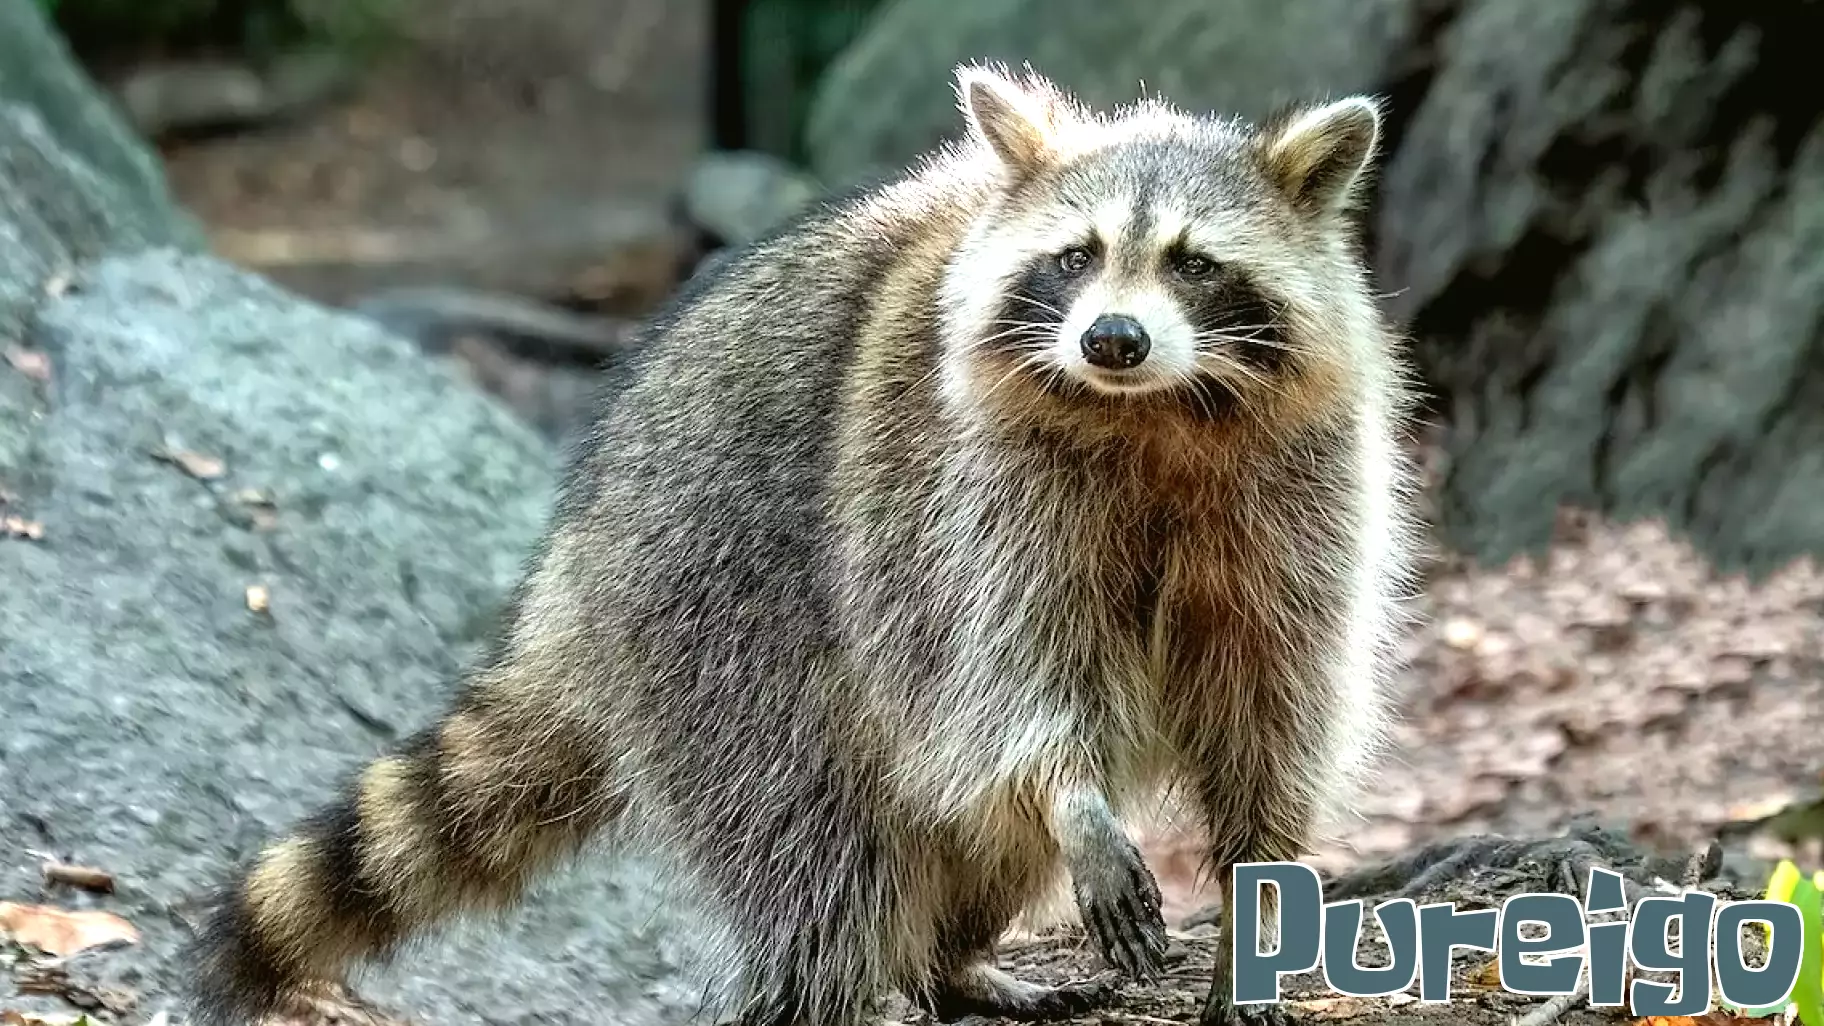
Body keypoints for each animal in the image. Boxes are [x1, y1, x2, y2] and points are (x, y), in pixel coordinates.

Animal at [186, 62, 1420, 1026]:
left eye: (1193, 263)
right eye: (1076, 256)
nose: (1111, 339)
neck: (1154, 414)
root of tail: (575, 561)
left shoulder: (1301, 498)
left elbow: (1275, 700)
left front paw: (1260, 894)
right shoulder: (969, 499)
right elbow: (1012, 682)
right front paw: (1074, 796)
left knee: (967, 833)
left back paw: (954, 959)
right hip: (723, 619)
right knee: (820, 847)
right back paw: (841, 976)